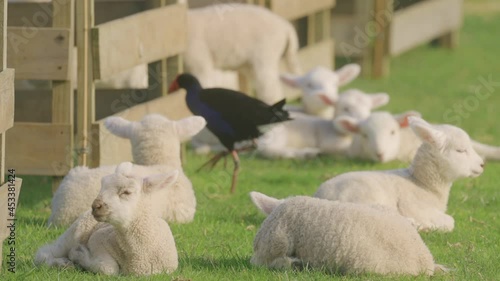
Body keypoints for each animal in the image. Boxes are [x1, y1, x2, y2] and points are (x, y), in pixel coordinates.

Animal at [35, 163, 180, 274]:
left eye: (127, 192)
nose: (95, 206)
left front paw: (78, 255)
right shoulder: (98, 239)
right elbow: (108, 268)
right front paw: (78, 254)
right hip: (74, 232)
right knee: (44, 253)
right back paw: (62, 263)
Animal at [316, 115, 484, 231]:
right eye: (460, 150)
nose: (482, 164)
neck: (422, 184)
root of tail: (321, 196)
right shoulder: (414, 207)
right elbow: (450, 221)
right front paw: (428, 225)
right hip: (363, 198)